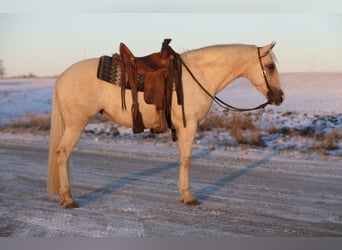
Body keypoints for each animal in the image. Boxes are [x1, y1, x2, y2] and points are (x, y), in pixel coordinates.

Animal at [46, 41, 284, 209]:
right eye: (270, 66)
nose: (280, 97)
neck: (198, 75)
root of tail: (62, 77)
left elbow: (182, 159)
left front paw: (183, 193)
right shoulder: (189, 126)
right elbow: (186, 160)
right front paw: (188, 196)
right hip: (76, 124)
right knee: (62, 152)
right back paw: (68, 199)